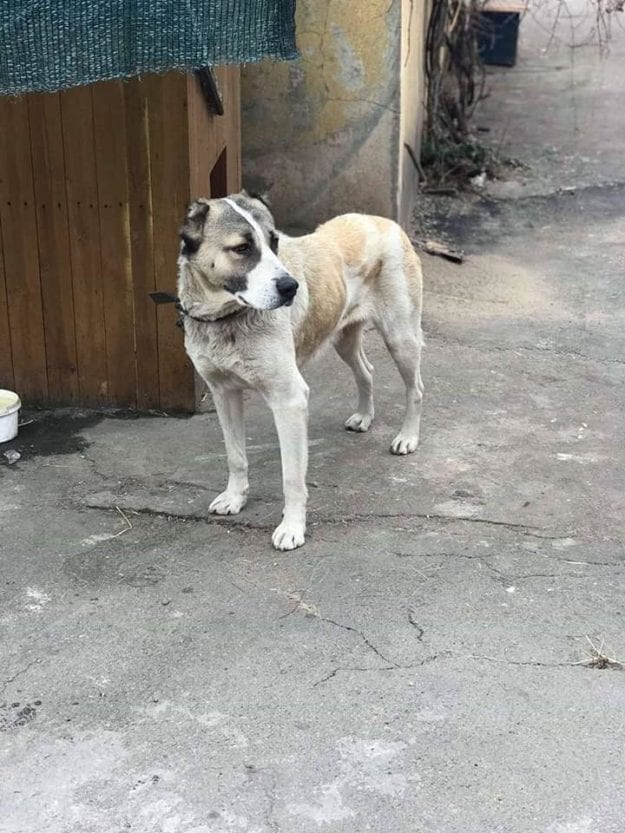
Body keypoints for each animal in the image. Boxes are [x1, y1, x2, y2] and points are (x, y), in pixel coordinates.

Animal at [177, 192, 424, 548]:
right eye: (242, 248)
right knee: (366, 370)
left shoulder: (289, 400)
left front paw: (292, 527)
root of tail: (383, 221)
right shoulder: (224, 394)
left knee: (415, 388)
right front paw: (235, 497)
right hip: (343, 338)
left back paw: (407, 437)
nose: (290, 287)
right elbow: (235, 456)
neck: (228, 319)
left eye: (274, 241)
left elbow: (292, 476)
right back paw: (364, 416)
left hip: (400, 337)